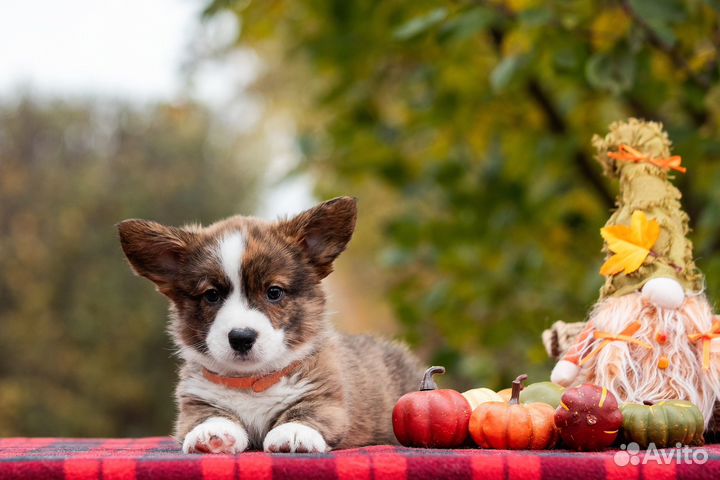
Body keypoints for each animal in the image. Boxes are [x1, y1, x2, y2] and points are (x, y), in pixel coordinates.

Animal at [118, 197, 422, 452]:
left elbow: (306, 411)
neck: (252, 381)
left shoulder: (327, 398)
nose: (241, 338)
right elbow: (210, 416)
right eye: (212, 295)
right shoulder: (194, 404)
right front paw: (211, 434)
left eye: (274, 292)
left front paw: (294, 433)